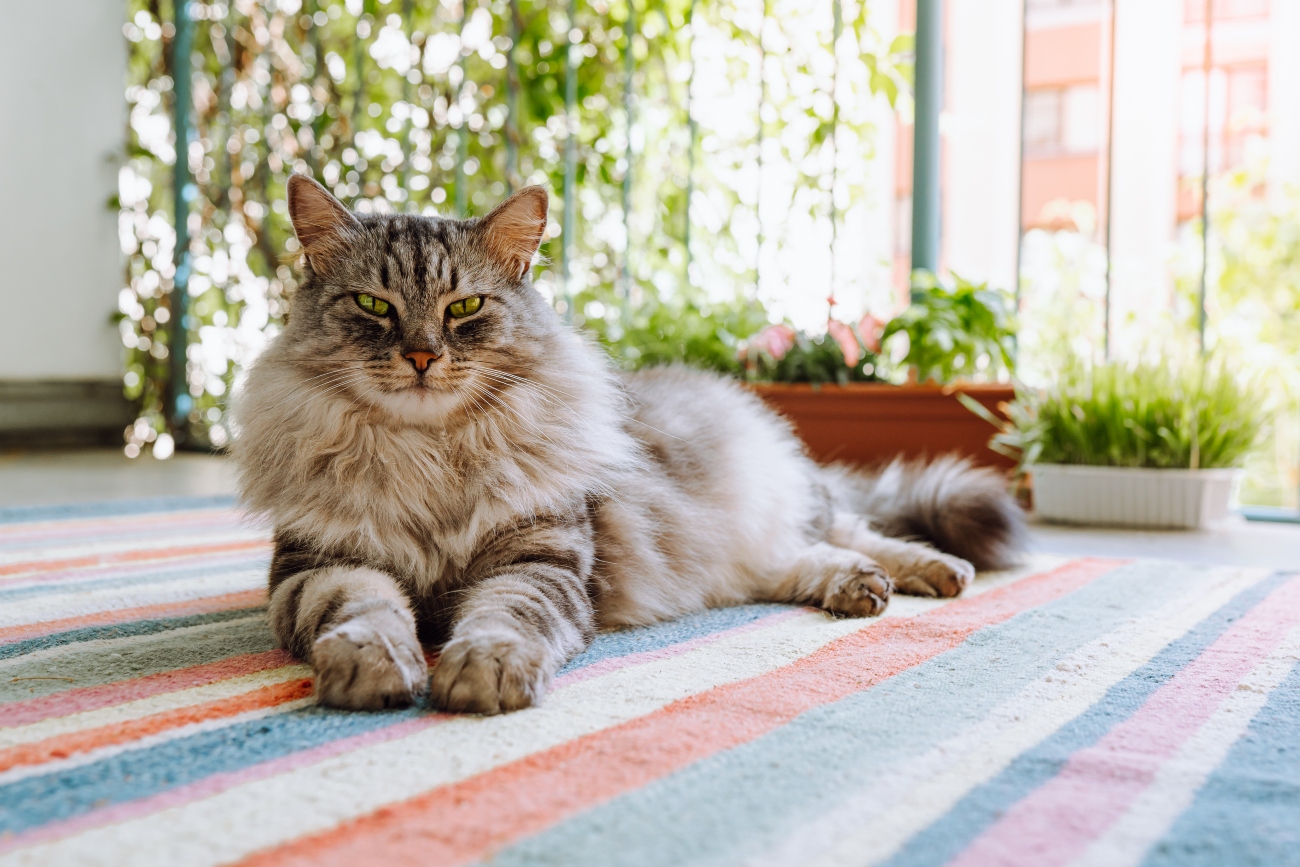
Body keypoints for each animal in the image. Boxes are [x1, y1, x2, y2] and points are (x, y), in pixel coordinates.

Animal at [231, 174, 1024, 712]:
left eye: (465, 308)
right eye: (373, 306)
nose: (422, 356)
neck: (425, 454)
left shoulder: (539, 562)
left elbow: (501, 619)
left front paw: (483, 673)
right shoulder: (322, 565)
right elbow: (365, 611)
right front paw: (373, 668)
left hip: (786, 505)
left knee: (854, 530)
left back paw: (928, 571)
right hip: (735, 557)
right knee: (801, 562)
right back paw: (858, 586)